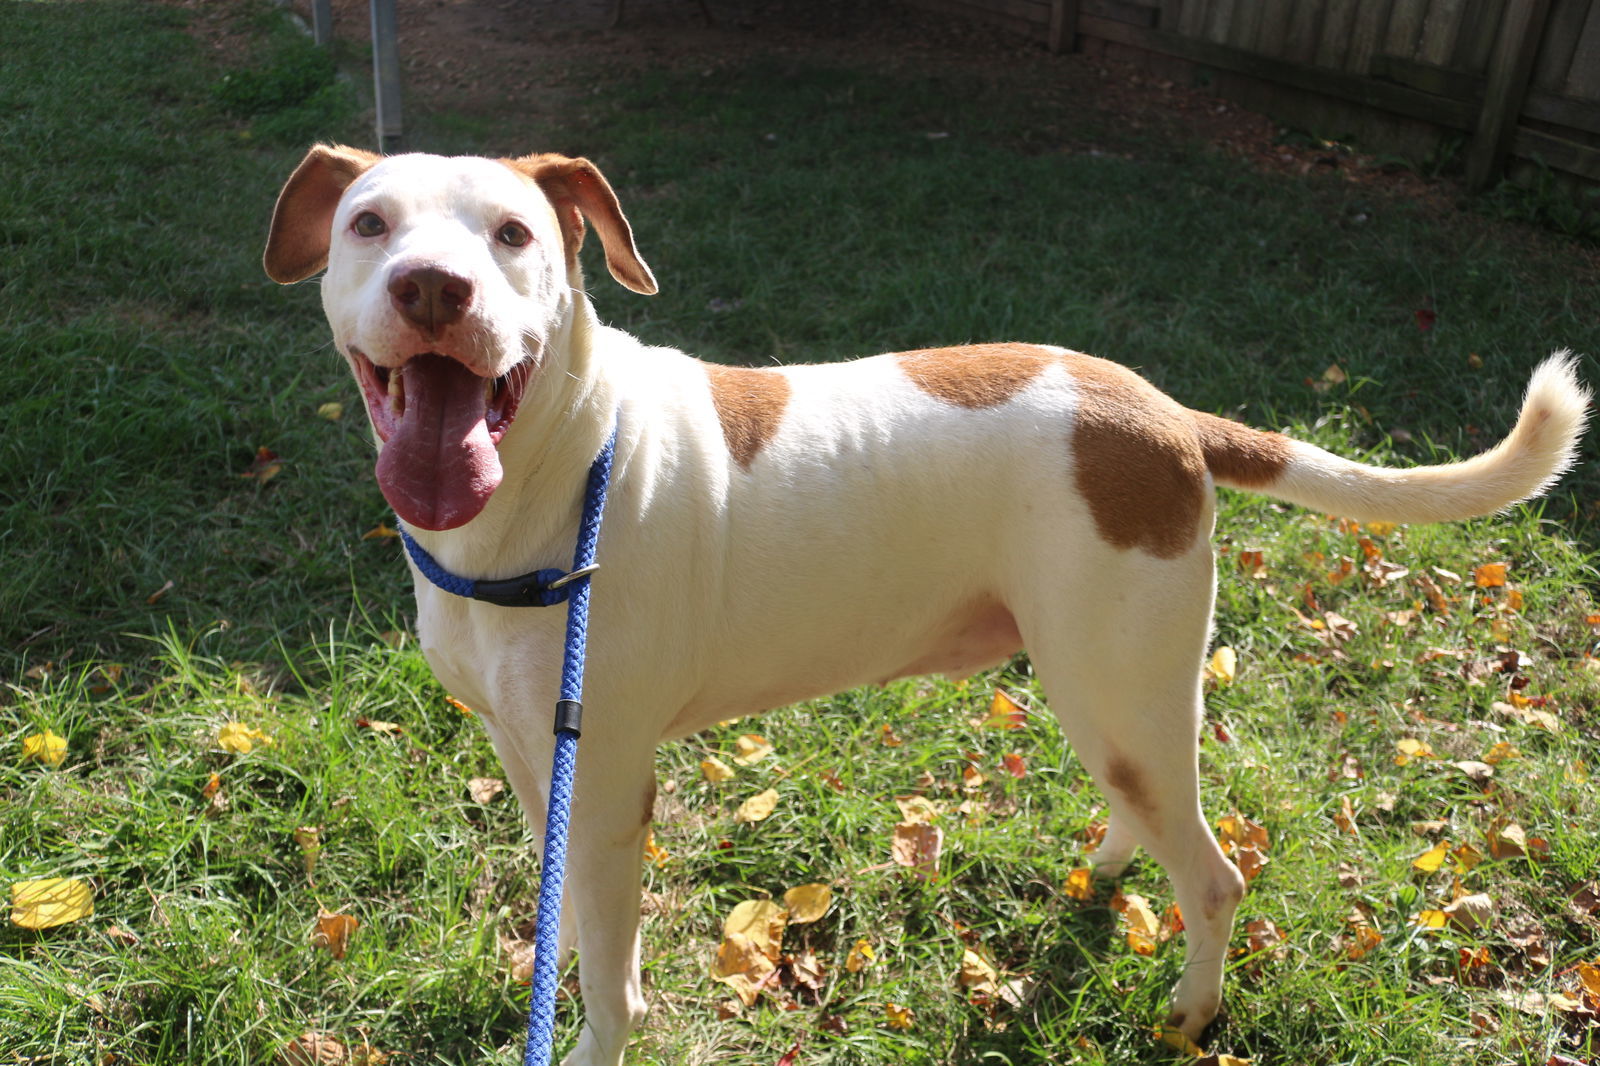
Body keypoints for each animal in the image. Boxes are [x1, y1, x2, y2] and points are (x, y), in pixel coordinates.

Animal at [265, 143, 1587, 1062]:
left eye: (514, 234)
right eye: (369, 223)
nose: (433, 288)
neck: (555, 474)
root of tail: (1169, 416)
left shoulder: (605, 782)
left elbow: (604, 973)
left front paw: (591, 1029)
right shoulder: (538, 752)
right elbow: (575, 927)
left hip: (1112, 684)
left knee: (1214, 877)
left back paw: (1189, 1011)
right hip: (1109, 695)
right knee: (1149, 804)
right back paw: (1109, 872)